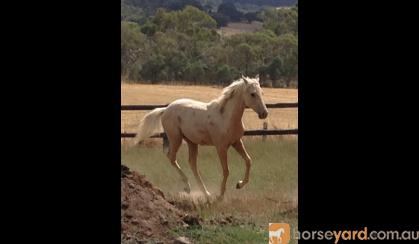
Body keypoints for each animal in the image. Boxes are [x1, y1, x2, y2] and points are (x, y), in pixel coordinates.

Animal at [135, 76, 270, 200]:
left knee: (192, 164)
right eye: (253, 94)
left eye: (262, 93)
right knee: (172, 157)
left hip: (191, 142)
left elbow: (248, 160)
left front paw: (239, 184)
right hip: (176, 138)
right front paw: (220, 195)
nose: (264, 114)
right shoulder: (221, 147)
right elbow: (226, 170)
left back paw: (206, 193)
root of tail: (166, 109)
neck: (226, 117)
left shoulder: (236, 142)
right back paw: (188, 187)